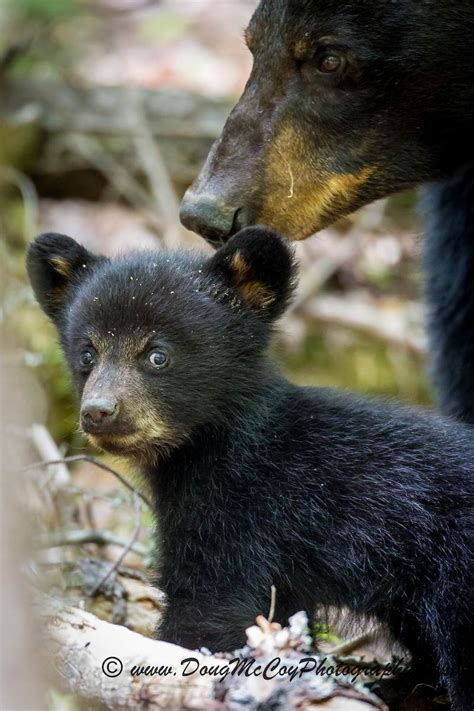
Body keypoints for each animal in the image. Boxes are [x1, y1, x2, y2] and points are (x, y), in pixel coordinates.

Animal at [26, 228, 474, 711]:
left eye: (157, 355)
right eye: (87, 354)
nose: (98, 411)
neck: (211, 448)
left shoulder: (240, 513)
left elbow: (211, 608)